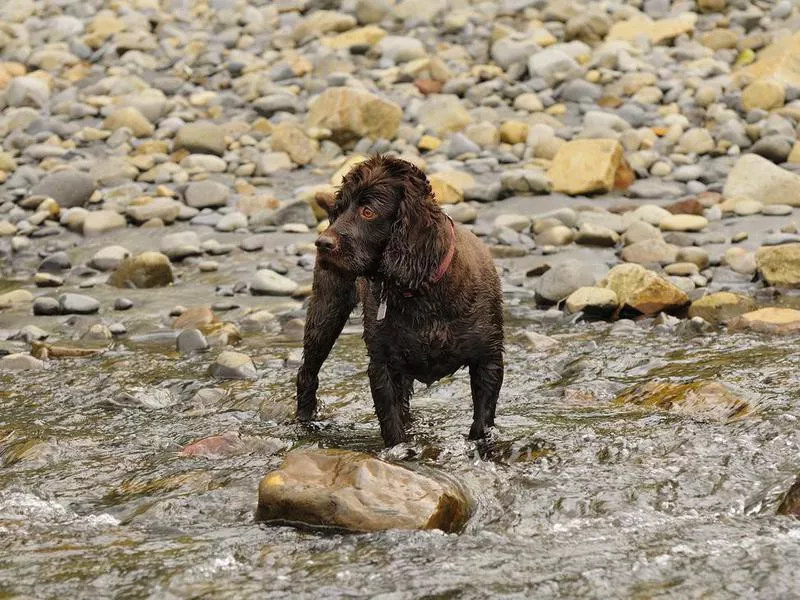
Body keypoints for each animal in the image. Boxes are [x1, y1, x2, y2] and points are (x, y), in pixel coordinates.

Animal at [294, 155, 506, 446]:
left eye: (368, 211)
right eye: (340, 209)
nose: (321, 243)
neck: (422, 292)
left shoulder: (488, 360)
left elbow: (481, 423)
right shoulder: (382, 365)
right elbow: (392, 425)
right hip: (326, 311)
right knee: (307, 372)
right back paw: (305, 421)